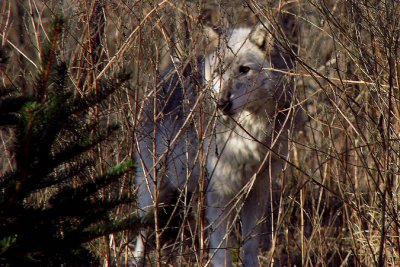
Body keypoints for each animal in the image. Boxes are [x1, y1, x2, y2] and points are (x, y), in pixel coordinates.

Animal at [134, 23, 296, 267]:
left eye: (244, 69)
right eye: (219, 70)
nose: (222, 103)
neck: (249, 136)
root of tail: (166, 72)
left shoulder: (257, 190)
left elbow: (249, 246)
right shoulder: (220, 193)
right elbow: (222, 251)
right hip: (153, 190)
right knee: (140, 236)